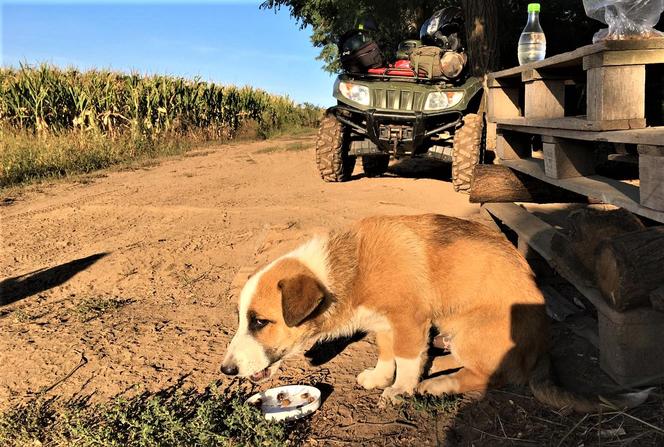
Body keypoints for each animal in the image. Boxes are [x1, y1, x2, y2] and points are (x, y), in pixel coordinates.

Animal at [222, 215, 648, 412]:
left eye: (260, 321)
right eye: (243, 318)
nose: (225, 371)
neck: (346, 272)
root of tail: (541, 353)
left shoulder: (409, 321)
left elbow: (408, 361)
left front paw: (401, 389)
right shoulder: (386, 324)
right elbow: (388, 354)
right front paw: (381, 376)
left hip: (471, 330)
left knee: (488, 377)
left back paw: (438, 384)